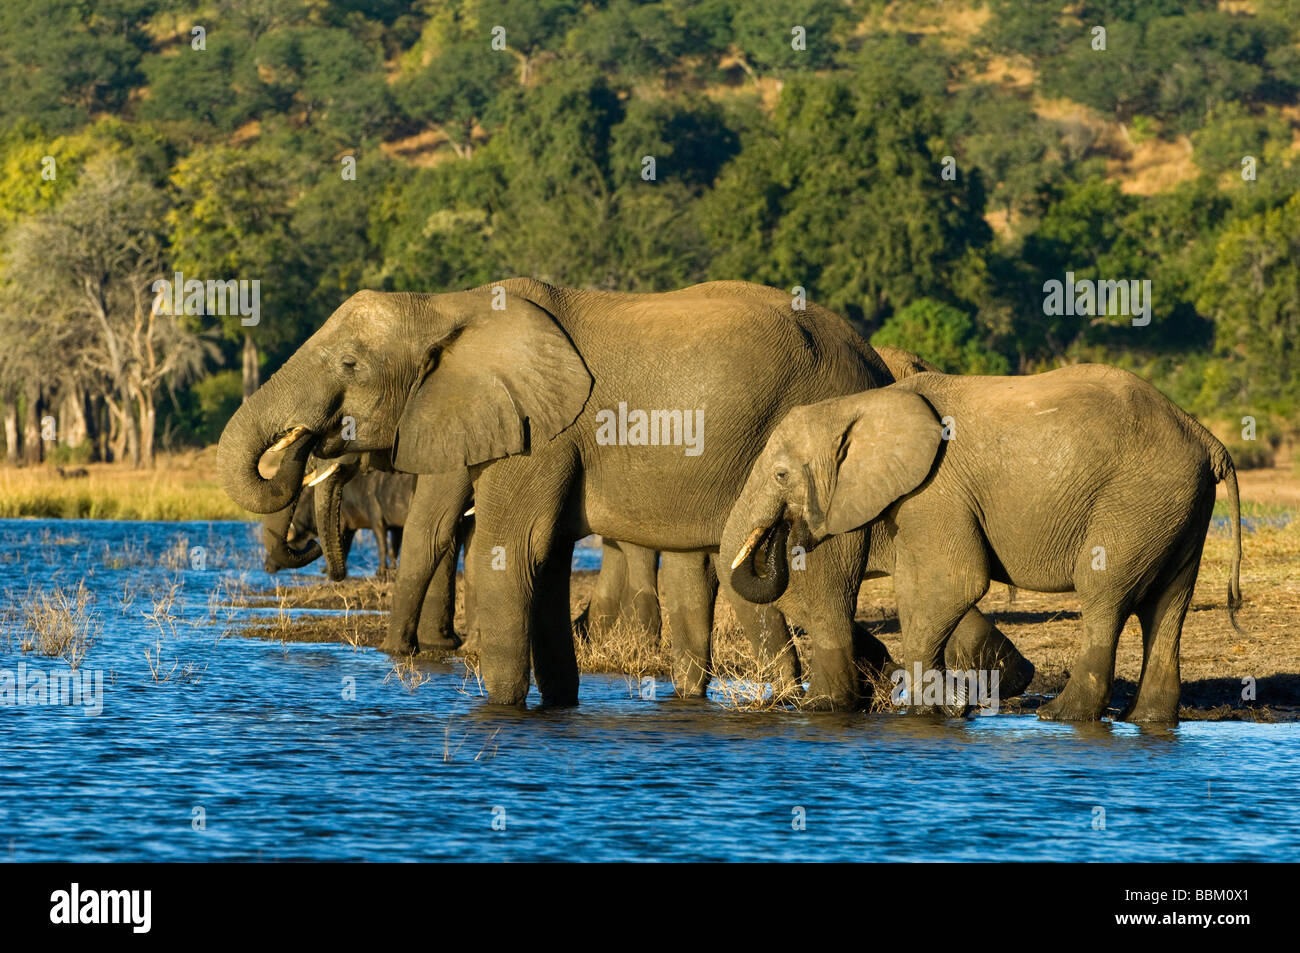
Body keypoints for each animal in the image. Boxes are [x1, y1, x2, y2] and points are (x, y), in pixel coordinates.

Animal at [728, 364, 1242, 722]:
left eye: (780, 475)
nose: (786, 530)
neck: (858, 405)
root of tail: (1206, 437)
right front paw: (950, 708)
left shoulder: (935, 490)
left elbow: (948, 582)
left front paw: (925, 712)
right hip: (1177, 508)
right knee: (1169, 605)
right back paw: (1148, 719)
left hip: (1136, 502)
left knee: (1106, 596)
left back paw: (1059, 716)